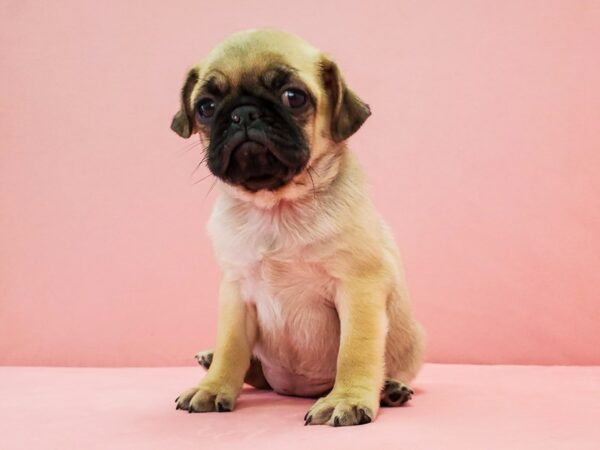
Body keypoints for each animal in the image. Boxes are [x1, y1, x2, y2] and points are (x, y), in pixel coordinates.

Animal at [171, 29, 424, 428]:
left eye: (294, 97)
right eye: (206, 107)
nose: (244, 113)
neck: (277, 209)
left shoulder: (359, 289)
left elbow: (356, 351)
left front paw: (346, 399)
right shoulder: (236, 294)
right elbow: (231, 348)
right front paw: (213, 386)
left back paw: (390, 389)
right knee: (255, 372)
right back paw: (212, 362)